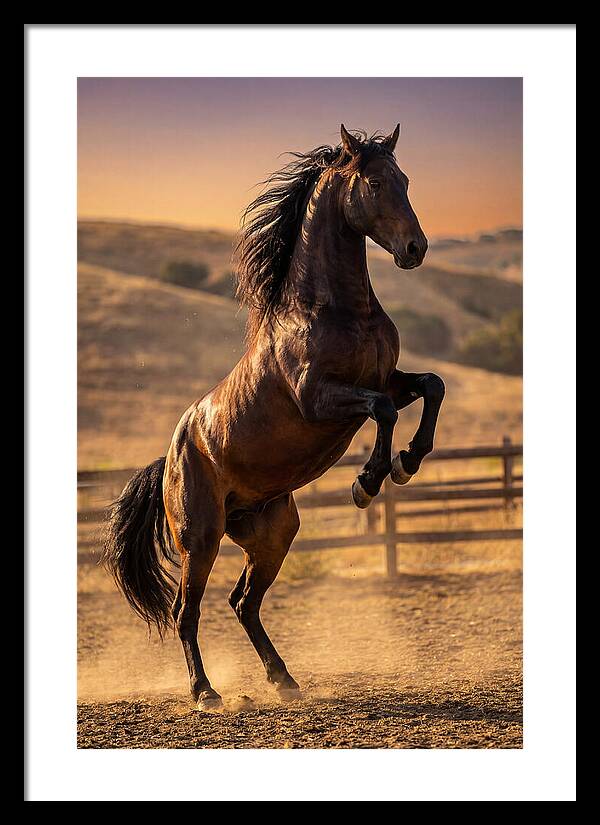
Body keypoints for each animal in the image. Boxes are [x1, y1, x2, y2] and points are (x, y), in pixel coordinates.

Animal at [102, 124, 445, 710]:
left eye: (405, 179)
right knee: (186, 612)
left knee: (244, 603)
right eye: (375, 182)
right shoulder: (320, 398)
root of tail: (169, 457)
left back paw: (283, 680)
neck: (333, 309)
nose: (415, 249)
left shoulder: (387, 380)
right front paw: (367, 482)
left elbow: (431, 387)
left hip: (272, 532)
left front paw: (408, 462)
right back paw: (205, 693)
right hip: (201, 538)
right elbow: (381, 412)